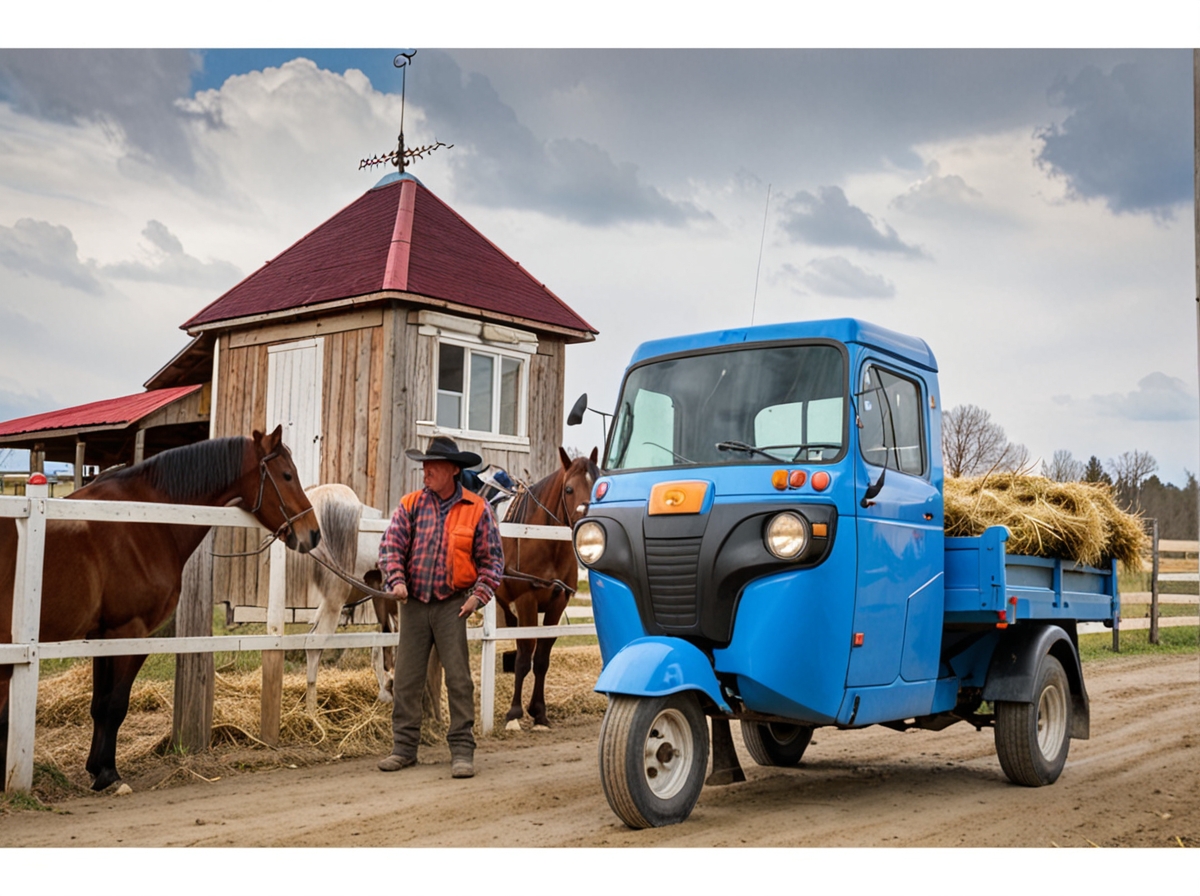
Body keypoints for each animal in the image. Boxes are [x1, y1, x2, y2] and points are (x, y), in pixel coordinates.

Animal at [0, 429, 319, 791]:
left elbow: (99, 705)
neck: (146, 521)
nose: (313, 532)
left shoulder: (103, 636)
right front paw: (109, 775)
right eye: (287, 475)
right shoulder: (131, 633)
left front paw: (96, 768)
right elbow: (115, 705)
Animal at [494, 446, 597, 734]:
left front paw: (539, 713)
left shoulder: (557, 602)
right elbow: (524, 656)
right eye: (569, 489)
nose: (588, 525)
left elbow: (541, 657)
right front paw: (514, 714)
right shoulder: (526, 600)